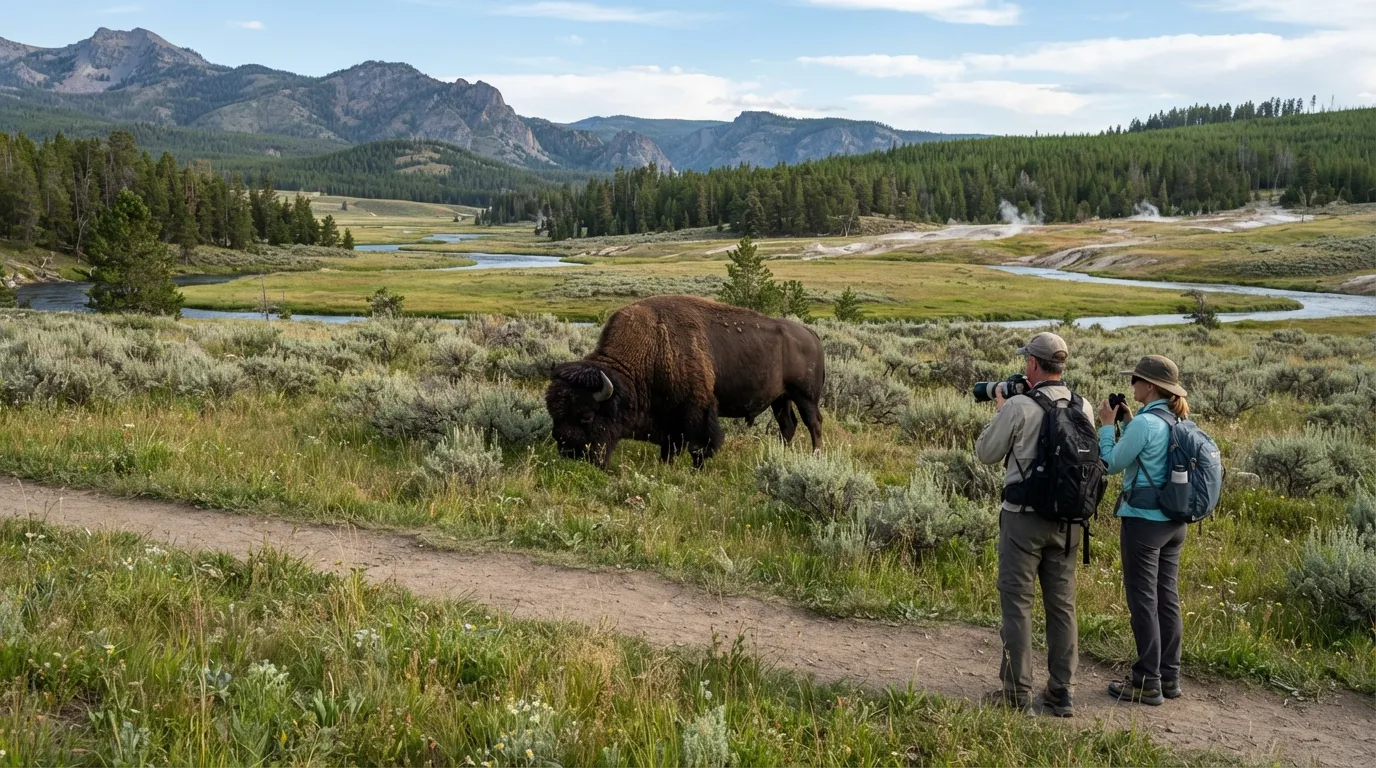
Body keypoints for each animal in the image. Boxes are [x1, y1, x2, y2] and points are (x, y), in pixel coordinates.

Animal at [546, 295, 825, 468]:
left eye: (586, 416)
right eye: (554, 414)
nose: (568, 453)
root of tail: (811, 334)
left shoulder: (696, 410)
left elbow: (699, 446)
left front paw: (696, 469)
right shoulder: (669, 419)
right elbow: (670, 447)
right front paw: (666, 465)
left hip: (805, 395)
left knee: (813, 423)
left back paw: (816, 457)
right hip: (781, 397)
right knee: (788, 425)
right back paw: (782, 454)